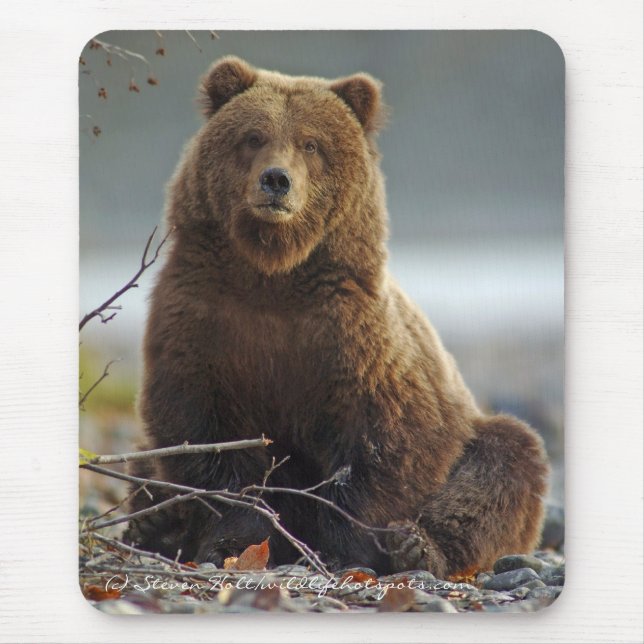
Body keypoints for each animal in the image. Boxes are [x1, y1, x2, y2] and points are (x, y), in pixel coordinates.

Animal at [123, 56, 549, 577]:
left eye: (311, 143)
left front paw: (344, 548)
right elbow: (207, 437)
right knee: (146, 458)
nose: (276, 180)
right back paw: (154, 521)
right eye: (253, 136)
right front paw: (230, 542)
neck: (275, 273)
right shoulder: (203, 319)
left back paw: (419, 545)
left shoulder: (350, 335)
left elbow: (383, 442)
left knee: (507, 459)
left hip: (473, 435)